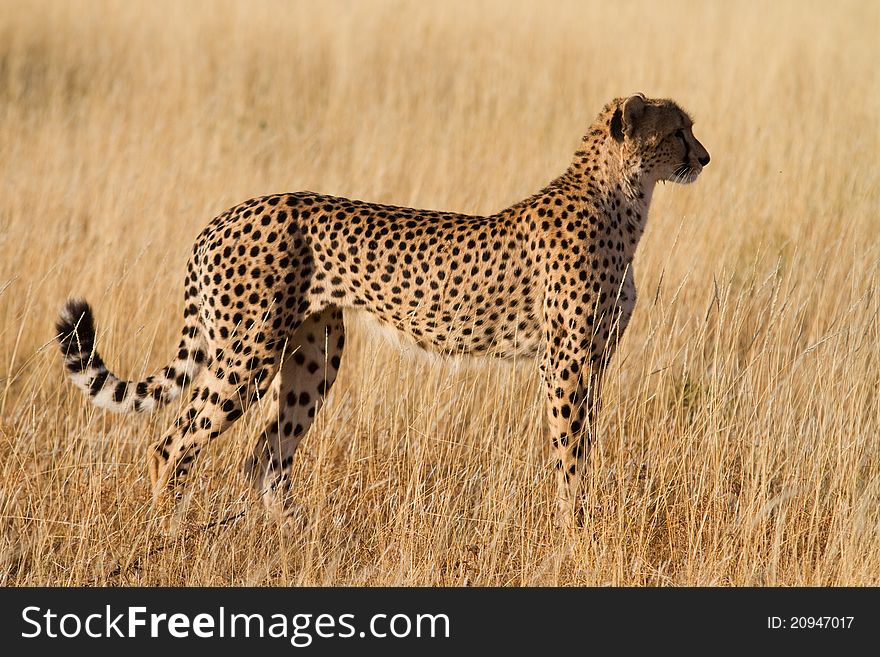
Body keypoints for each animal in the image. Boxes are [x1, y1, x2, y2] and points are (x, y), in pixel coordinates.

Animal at [56, 95, 708, 528]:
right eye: (678, 131)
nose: (704, 156)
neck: (623, 198)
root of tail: (226, 214)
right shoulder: (567, 361)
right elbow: (571, 449)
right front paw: (579, 527)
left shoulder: (592, 357)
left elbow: (583, 441)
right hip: (249, 352)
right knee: (175, 443)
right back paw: (169, 530)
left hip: (314, 355)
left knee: (266, 453)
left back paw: (293, 537)